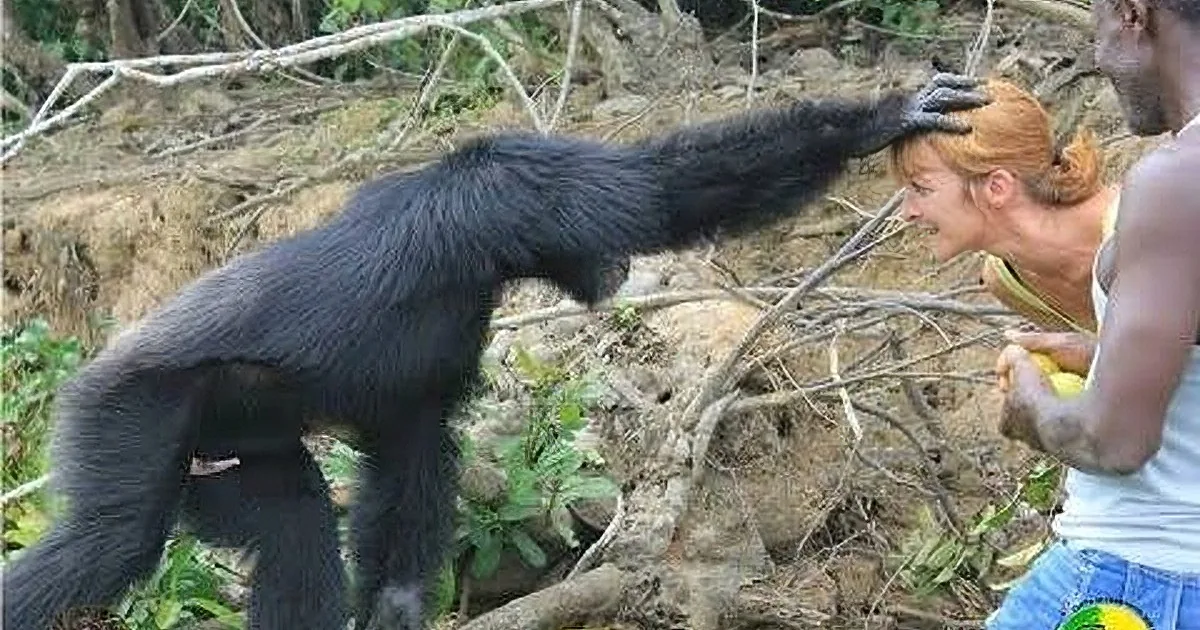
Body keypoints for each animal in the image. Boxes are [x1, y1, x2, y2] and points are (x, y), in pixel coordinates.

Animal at [0, 73, 988, 630]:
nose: (614, 265)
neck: (497, 260)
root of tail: (94, 364)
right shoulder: (523, 185)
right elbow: (662, 189)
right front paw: (886, 114)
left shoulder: (418, 394)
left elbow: (408, 470)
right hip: (130, 409)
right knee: (109, 541)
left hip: (229, 455)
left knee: (292, 530)